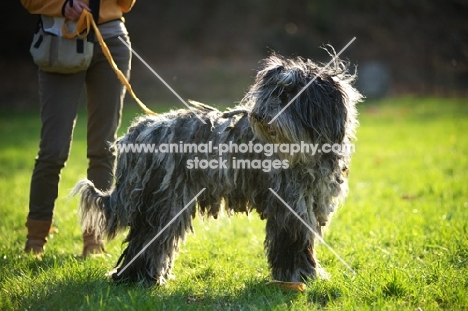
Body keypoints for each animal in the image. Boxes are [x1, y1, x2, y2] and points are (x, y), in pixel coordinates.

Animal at [74, 53, 362, 286]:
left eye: (289, 95)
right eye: (271, 92)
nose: (259, 115)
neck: (306, 149)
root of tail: (139, 130)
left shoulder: (307, 203)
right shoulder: (290, 206)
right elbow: (293, 244)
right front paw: (299, 277)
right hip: (165, 203)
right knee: (148, 240)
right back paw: (139, 279)